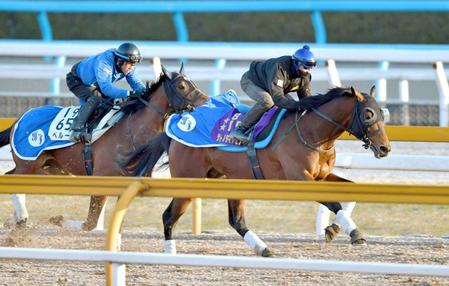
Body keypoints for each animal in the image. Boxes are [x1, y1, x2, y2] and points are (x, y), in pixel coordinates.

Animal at [0, 65, 209, 230]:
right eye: (182, 86)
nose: (206, 102)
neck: (130, 131)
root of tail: (19, 119)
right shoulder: (101, 176)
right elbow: (89, 223)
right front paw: (57, 220)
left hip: (50, 168)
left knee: (13, 177)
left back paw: (15, 220)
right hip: (29, 164)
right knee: (13, 181)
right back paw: (21, 217)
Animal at [125, 86, 388, 256]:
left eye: (382, 113)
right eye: (368, 114)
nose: (385, 148)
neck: (311, 132)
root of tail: (175, 128)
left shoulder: (321, 176)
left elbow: (350, 191)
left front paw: (333, 228)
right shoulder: (300, 178)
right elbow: (333, 201)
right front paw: (354, 232)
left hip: (231, 180)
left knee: (236, 220)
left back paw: (263, 248)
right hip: (189, 180)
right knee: (168, 216)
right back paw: (170, 252)